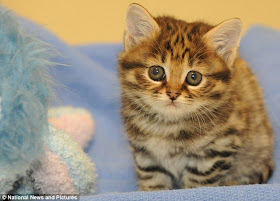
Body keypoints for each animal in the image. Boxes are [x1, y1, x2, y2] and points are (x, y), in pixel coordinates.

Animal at [117, 3, 274, 191]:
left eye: (194, 77)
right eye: (156, 72)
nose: (173, 94)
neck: (167, 126)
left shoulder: (217, 149)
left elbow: (199, 183)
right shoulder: (145, 153)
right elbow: (153, 179)